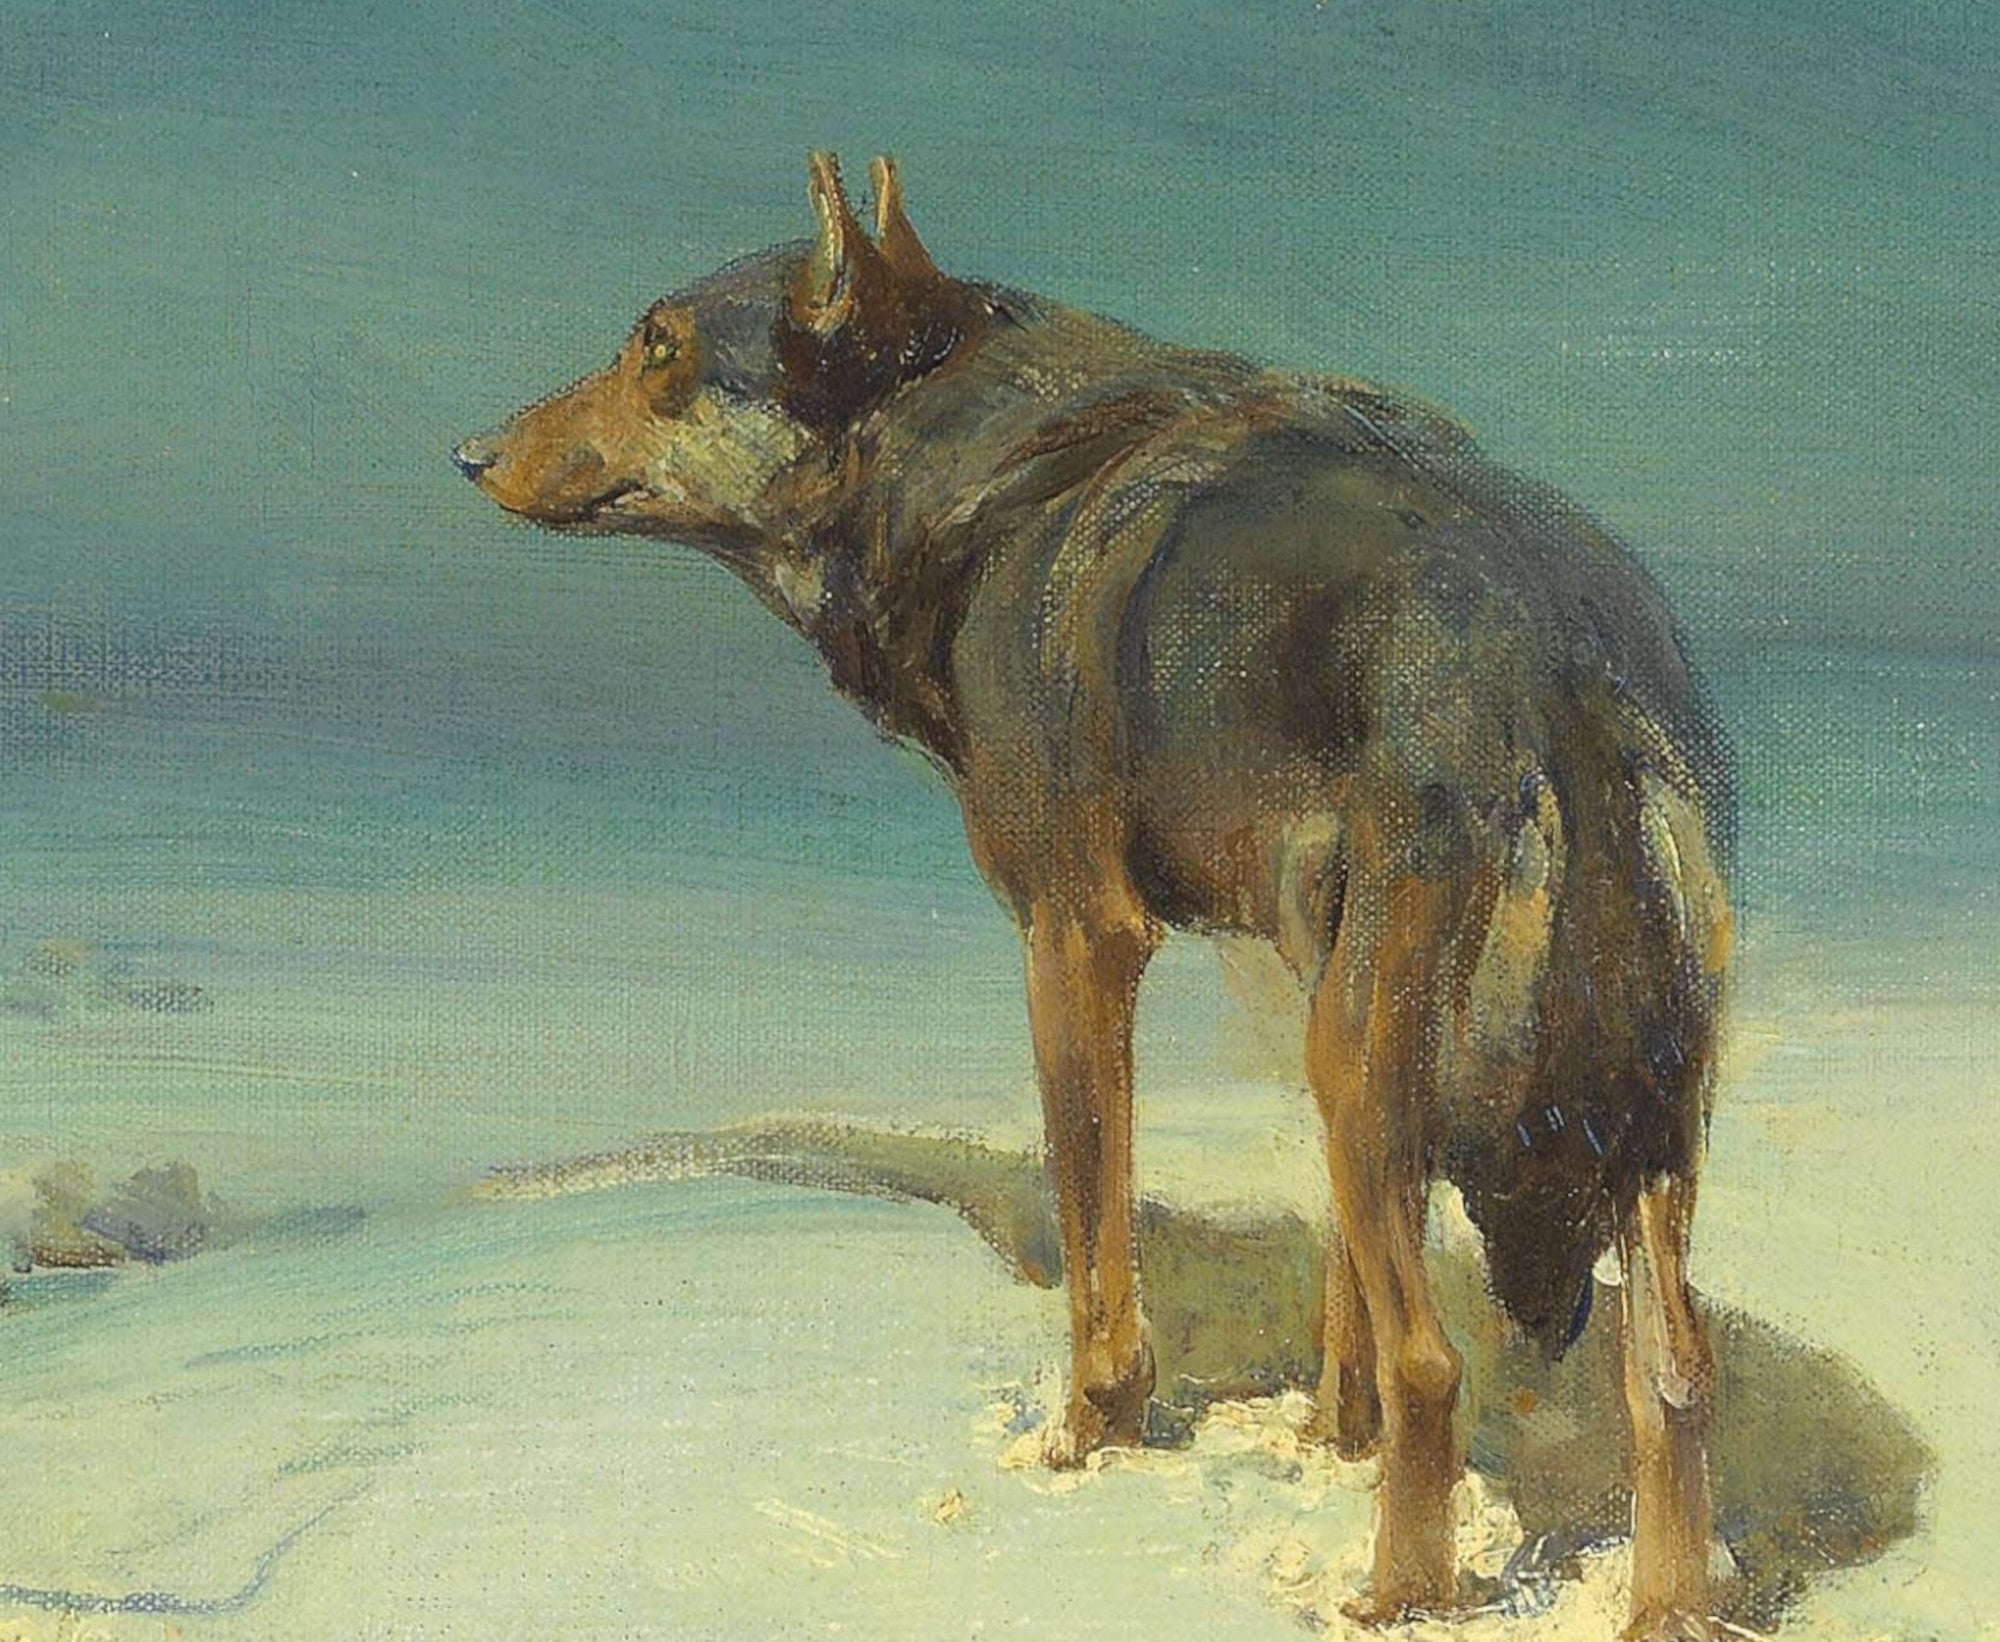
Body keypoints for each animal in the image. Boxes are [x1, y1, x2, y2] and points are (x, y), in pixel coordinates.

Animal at [455, 153, 1734, 1636]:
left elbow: (1096, 1229)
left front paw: (1088, 1433)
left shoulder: (1077, 939)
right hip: (1599, 1100)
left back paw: (1390, 1593)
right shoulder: (1302, 977)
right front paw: (1321, 1437)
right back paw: (1662, 1606)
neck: (979, 449)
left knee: (1439, 1363)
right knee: (1671, 1375)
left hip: (1379, 1058)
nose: (468, 454)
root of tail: (1562, 668)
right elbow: (1346, 1292)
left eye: (656, 349)